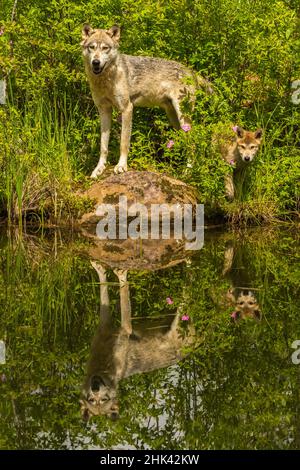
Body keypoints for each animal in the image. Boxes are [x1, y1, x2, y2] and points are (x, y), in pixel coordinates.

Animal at [81, 24, 210, 178]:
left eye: (105, 48)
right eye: (92, 47)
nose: (96, 62)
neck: (106, 80)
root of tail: (191, 71)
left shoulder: (127, 108)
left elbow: (124, 142)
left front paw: (121, 166)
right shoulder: (104, 111)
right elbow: (103, 146)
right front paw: (99, 169)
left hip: (182, 117)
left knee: (193, 143)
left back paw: (187, 172)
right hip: (175, 120)